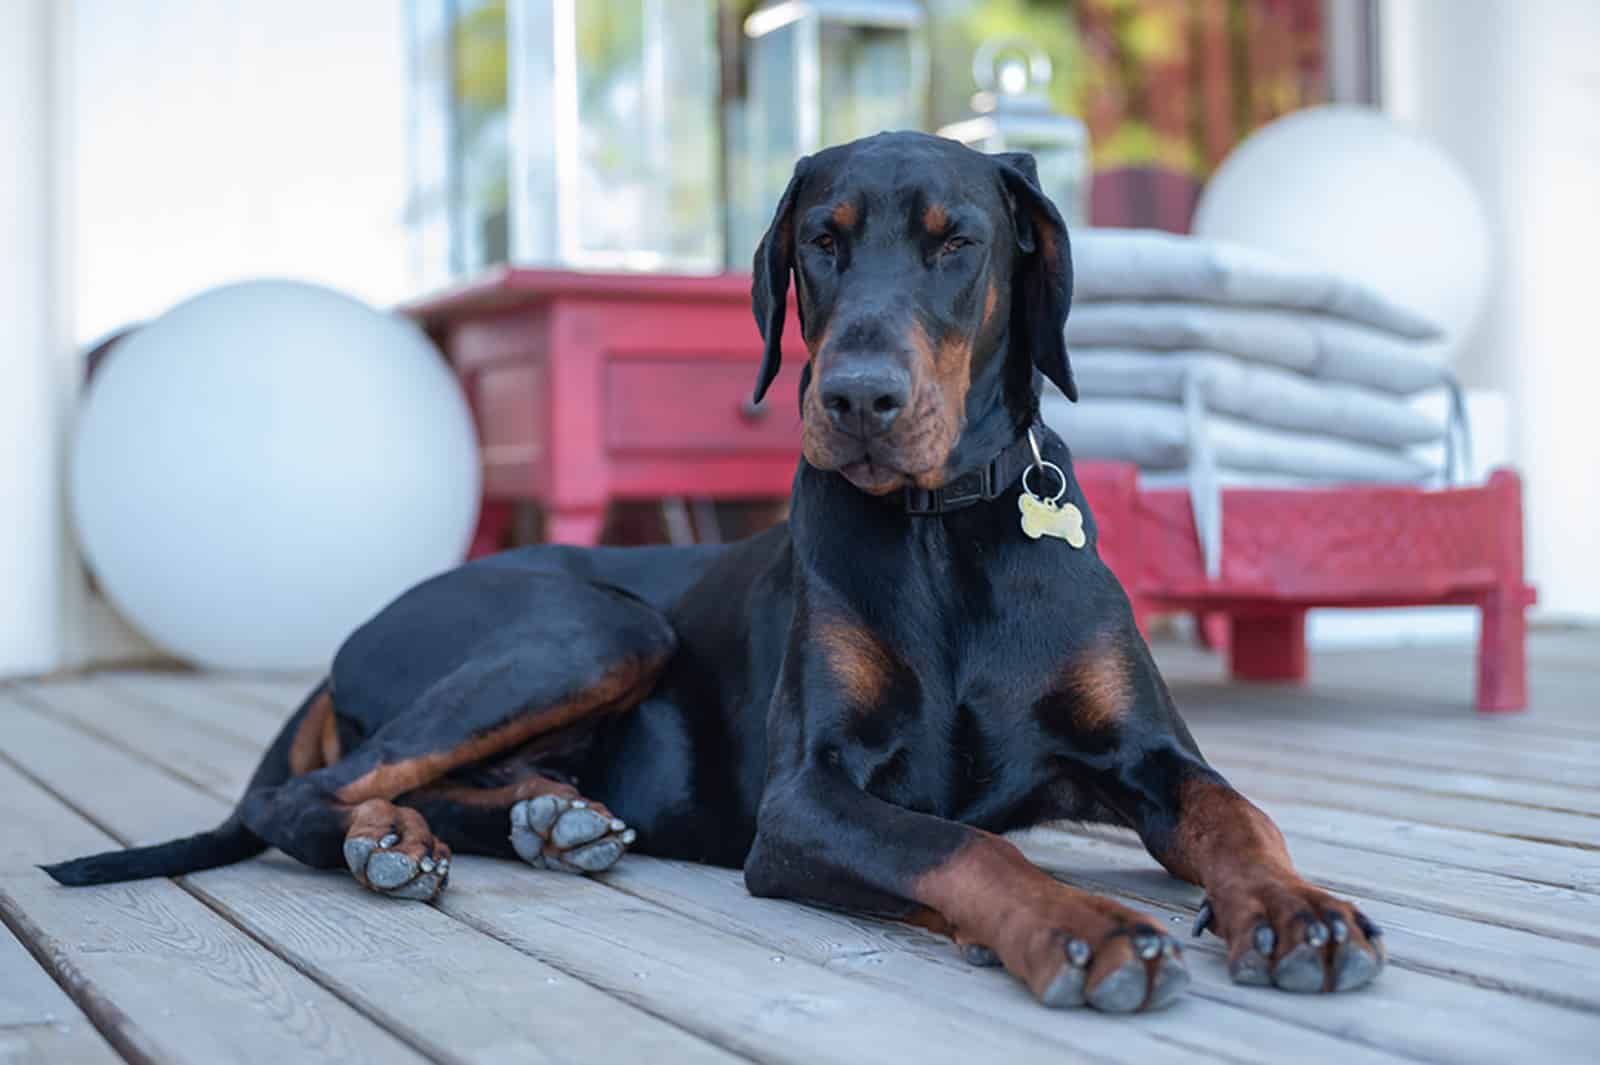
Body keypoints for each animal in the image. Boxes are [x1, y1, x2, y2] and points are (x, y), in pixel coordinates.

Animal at [43, 132, 1382, 1010]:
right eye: (820, 246)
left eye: (957, 244)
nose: (857, 399)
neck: (941, 532)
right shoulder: (804, 801)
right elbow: (957, 845)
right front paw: (1079, 923)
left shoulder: (1146, 756)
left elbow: (1234, 810)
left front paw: (1295, 908)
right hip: (596, 629)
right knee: (307, 795)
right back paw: (397, 843)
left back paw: (544, 822)